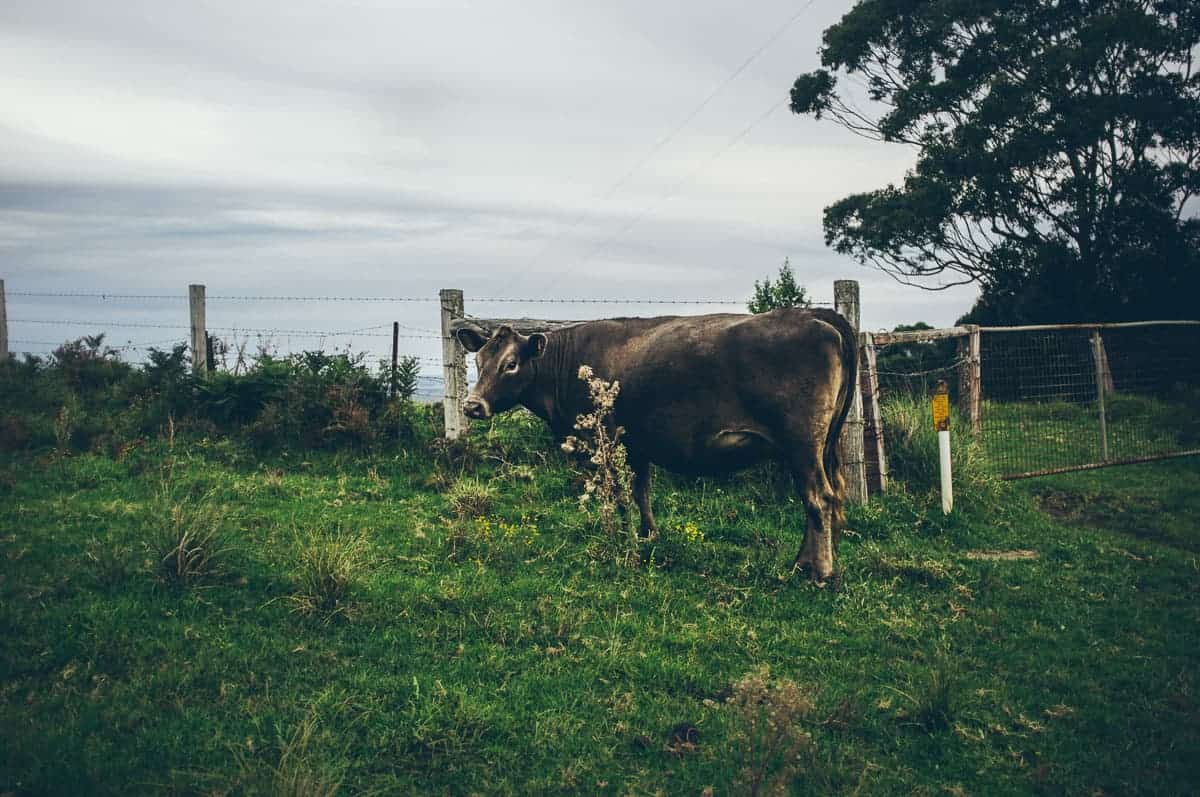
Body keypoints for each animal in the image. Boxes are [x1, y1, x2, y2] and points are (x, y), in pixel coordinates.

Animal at [453, 307, 859, 583]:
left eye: (511, 364)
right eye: (479, 360)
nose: (472, 405)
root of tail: (814, 313)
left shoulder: (607, 440)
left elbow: (618, 494)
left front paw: (623, 539)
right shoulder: (637, 444)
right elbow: (640, 491)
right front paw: (648, 535)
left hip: (802, 443)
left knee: (818, 498)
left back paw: (820, 572)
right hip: (819, 446)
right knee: (821, 499)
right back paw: (803, 563)